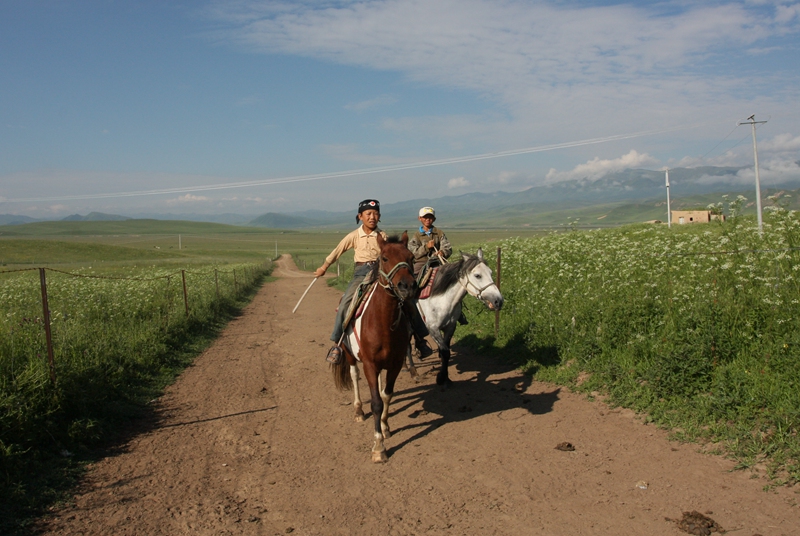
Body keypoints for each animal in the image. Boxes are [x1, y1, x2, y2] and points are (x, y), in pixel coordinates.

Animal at [332, 232, 418, 462]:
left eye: (411, 258)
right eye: (385, 258)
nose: (407, 286)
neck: (383, 321)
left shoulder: (395, 363)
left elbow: (387, 395)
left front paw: (386, 427)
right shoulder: (369, 364)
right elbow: (376, 403)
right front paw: (379, 447)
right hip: (350, 355)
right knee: (354, 376)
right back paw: (358, 411)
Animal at [412, 249, 500, 388]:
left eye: (491, 272)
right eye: (477, 275)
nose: (498, 301)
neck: (442, 299)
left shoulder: (450, 327)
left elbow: (446, 353)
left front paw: (446, 378)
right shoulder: (433, 329)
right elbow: (445, 351)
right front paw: (441, 378)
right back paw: (413, 372)